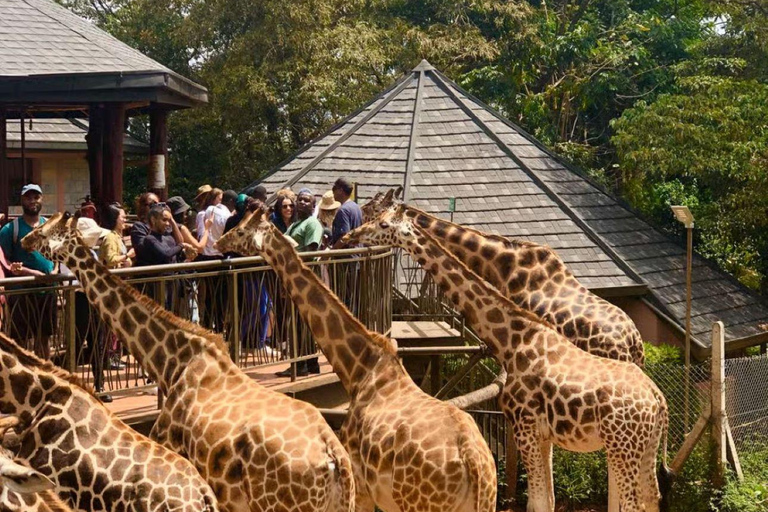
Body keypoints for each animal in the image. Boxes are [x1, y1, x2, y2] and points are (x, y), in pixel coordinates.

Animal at [216, 210, 497, 512]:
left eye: (241, 230)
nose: (220, 242)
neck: (359, 368)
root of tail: (475, 462)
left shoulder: (361, 485)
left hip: (422, 504)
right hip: (484, 501)